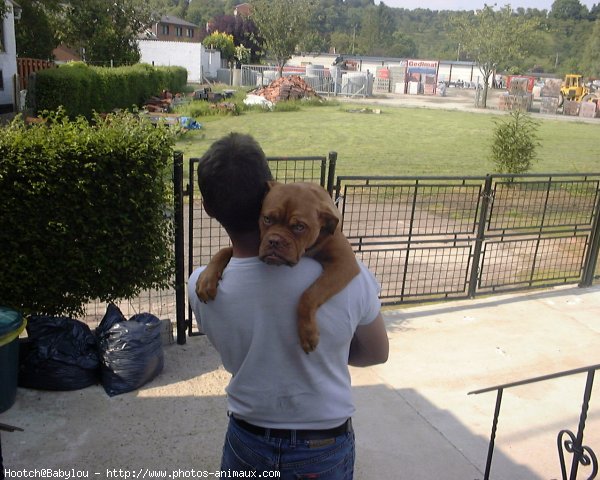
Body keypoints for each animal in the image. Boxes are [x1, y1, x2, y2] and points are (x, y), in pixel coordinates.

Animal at [195, 180, 358, 352]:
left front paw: (307, 333)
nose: (275, 240)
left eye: (299, 227)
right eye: (267, 219)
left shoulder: (344, 262)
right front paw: (206, 279)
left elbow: (310, 294)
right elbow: (223, 251)